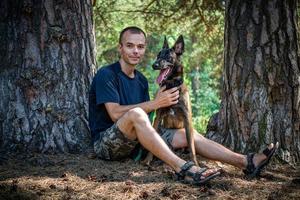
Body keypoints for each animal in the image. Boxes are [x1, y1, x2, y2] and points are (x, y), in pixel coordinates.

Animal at [142, 35, 198, 166]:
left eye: (168, 56)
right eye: (158, 55)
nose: (154, 65)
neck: (171, 85)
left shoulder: (187, 119)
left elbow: (191, 146)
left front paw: (195, 163)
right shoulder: (158, 117)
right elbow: (154, 140)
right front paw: (148, 159)